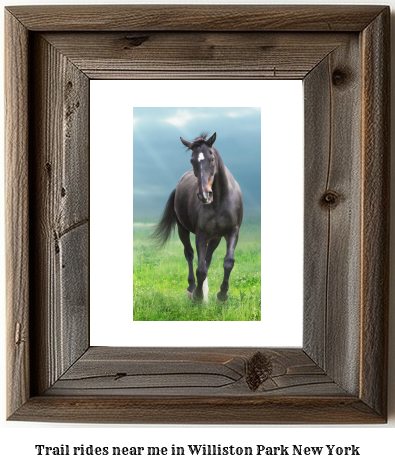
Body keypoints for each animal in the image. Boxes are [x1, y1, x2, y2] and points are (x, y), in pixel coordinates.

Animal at [152, 132, 243, 302]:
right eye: (192, 160)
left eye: (212, 158)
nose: (204, 195)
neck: (218, 202)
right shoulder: (200, 233)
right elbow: (200, 268)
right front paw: (198, 295)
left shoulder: (233, 231)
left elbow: (228, 262)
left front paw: (222, 295)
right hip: (183, 230)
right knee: (189, 255)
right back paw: (192, 288)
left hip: (215, 237)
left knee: (207, 257)